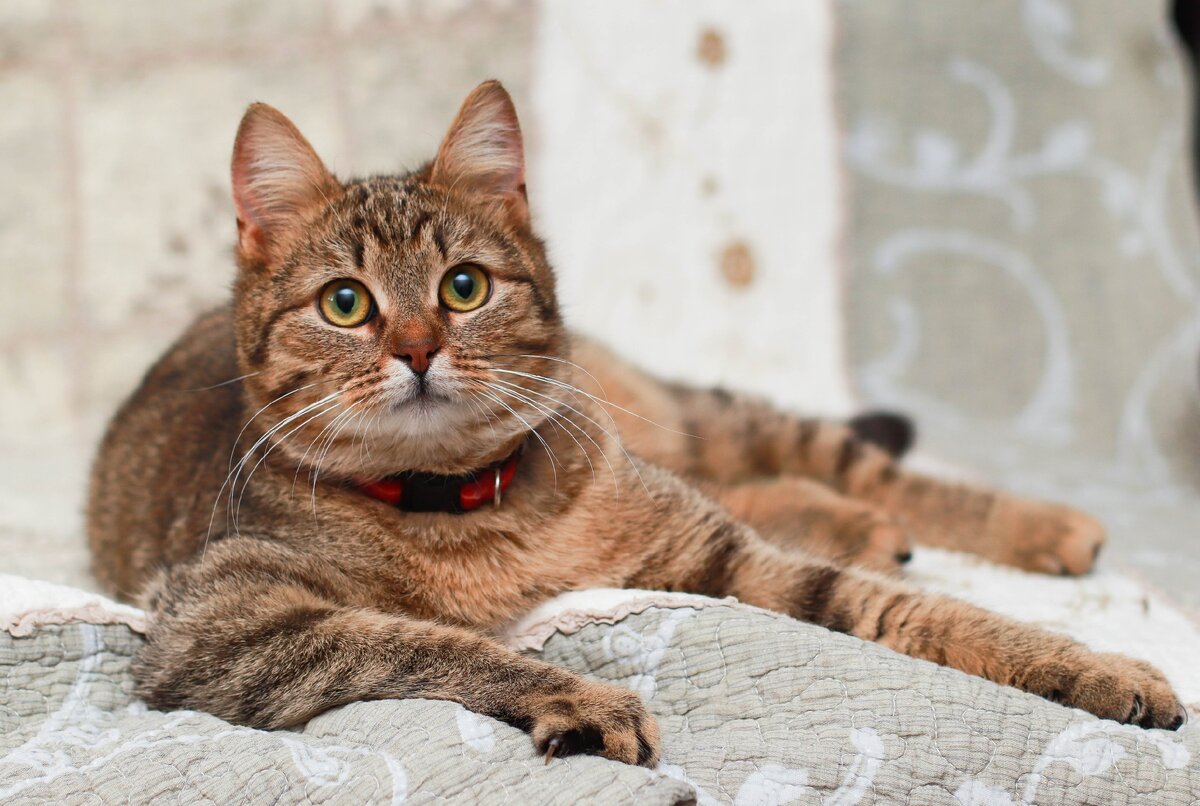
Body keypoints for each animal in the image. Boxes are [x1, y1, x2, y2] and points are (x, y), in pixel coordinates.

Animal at [88, 81, 1185, 767]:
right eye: (347, 303)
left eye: (463, 286)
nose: (418, 348)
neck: (467, 510)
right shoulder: (220, 624)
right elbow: (422, 644)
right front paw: (579, 695)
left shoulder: (721, 554)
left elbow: (926, 614)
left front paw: (1090, 665)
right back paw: (867, 525)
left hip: (687, 425)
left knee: (838, 462)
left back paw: (1036, 523)